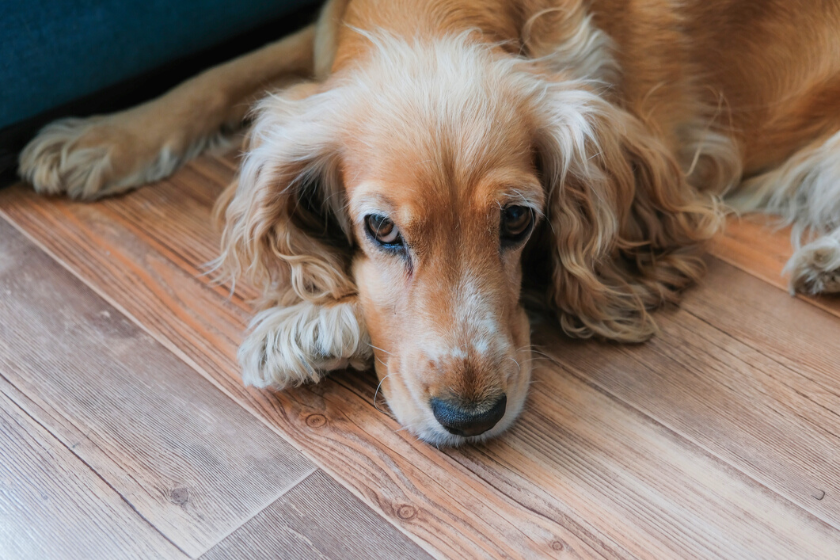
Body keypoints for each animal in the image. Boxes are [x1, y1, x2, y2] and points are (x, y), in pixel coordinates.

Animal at [19, 1, 840, 446]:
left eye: (519, 220)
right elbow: (220, 73)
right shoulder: (316, 37)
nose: (469, 417)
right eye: (382, 231)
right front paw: (99, 137)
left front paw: (307, 327)